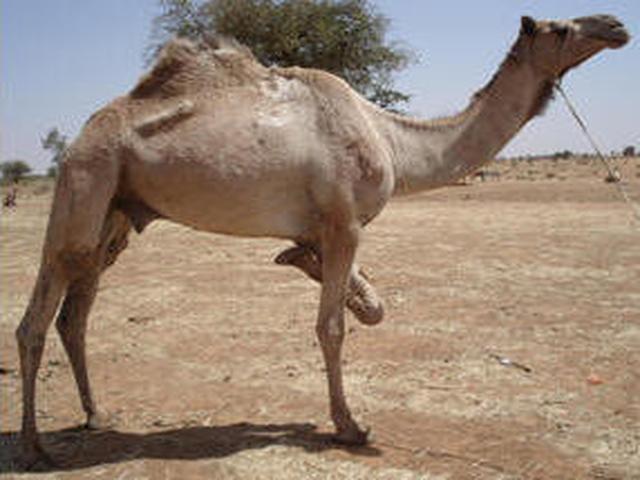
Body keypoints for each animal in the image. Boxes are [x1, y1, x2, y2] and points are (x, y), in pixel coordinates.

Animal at [16, 14, 628, 466]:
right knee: (36, 320)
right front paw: (350, 426)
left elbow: (366, 305)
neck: (391, 139)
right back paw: (35, 446)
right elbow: (331, 327)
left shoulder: (330, 228)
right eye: (559, 28)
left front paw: (301, 261)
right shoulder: (345, 223)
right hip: (84, 184)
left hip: (116, 214)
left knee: (76, 313)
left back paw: (96, 416)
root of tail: (78, 138)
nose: (616, 25)